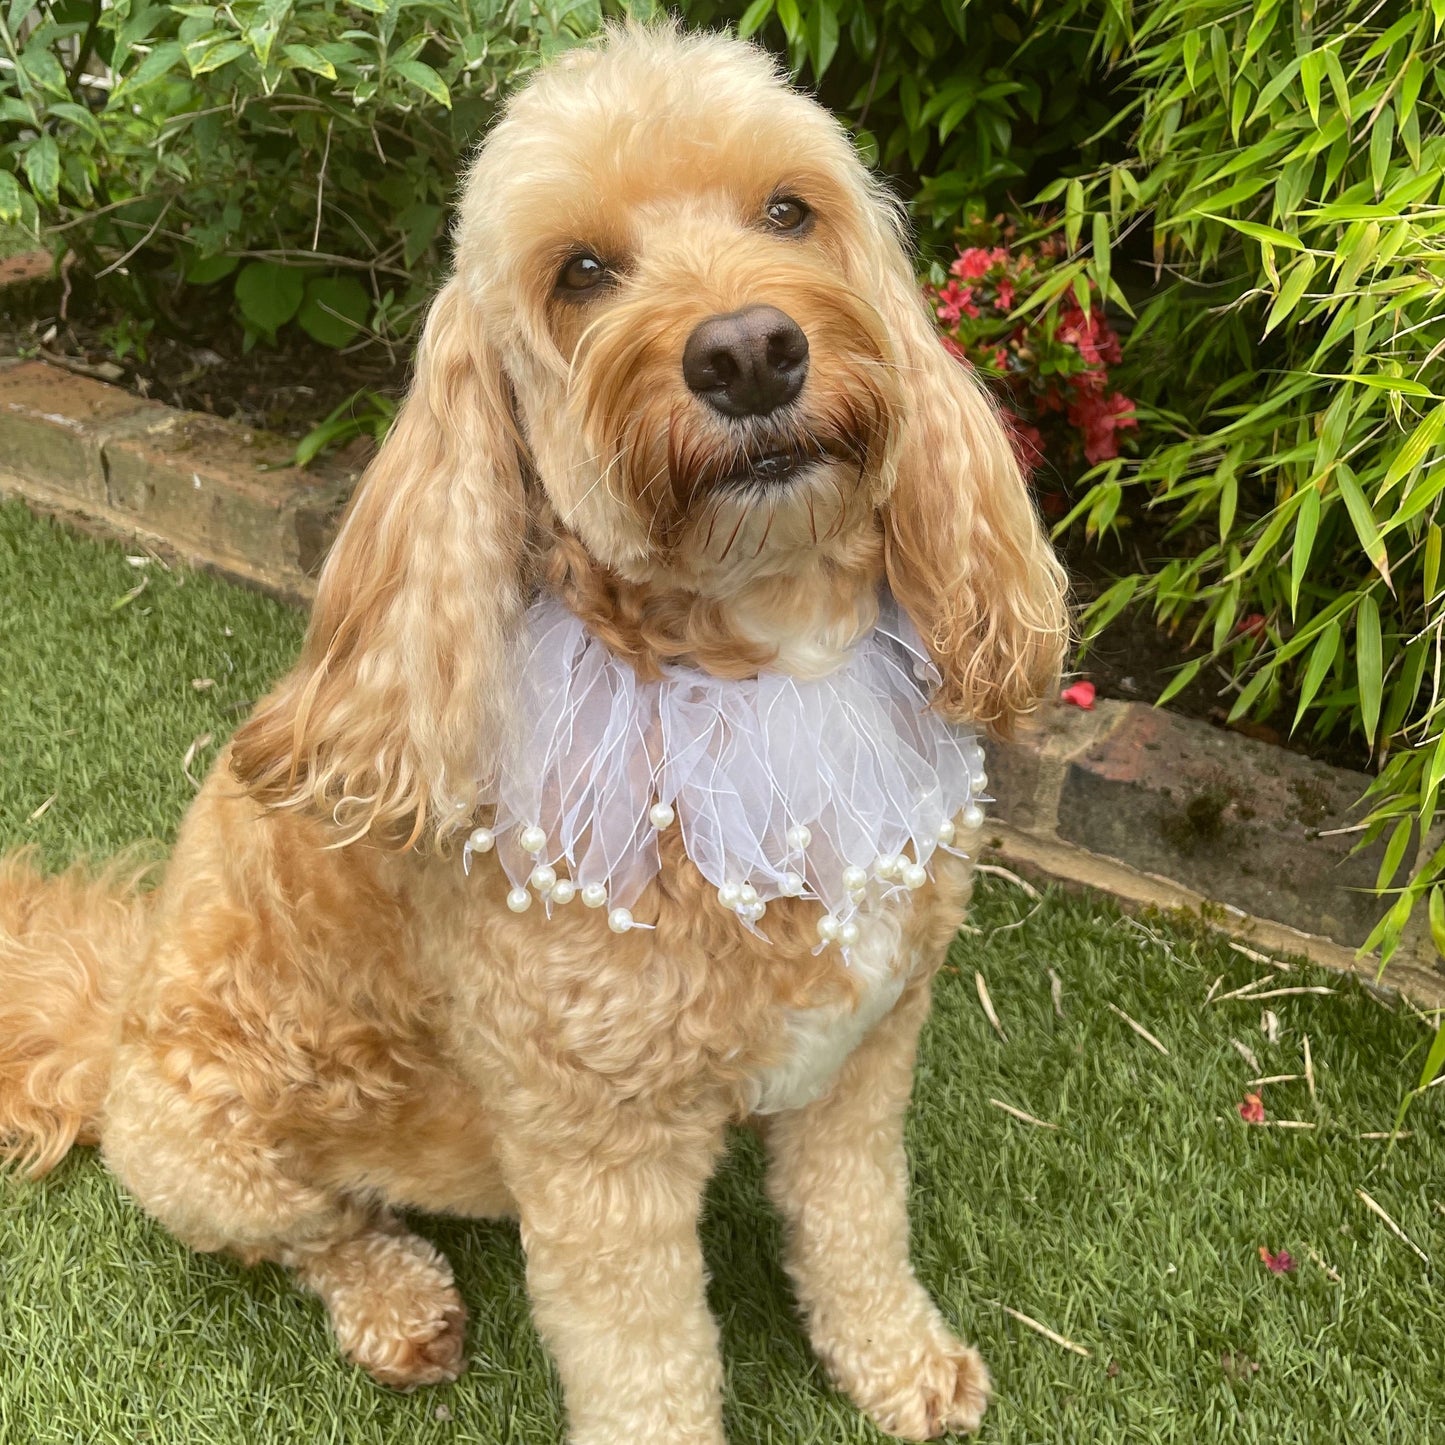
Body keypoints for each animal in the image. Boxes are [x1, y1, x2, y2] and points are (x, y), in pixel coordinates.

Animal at [0, 22, 1063, 1445]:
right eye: (581, 274)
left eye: (788, 210)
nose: (747, 352)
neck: (753, 675)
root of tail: (109, 1004)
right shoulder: (594, 1151)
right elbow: (646, 1358)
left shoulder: (862, 1052)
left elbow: (853, 1227)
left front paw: (898, 1362)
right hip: (194, 1143)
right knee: (314, 1232)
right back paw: (397, 1301)